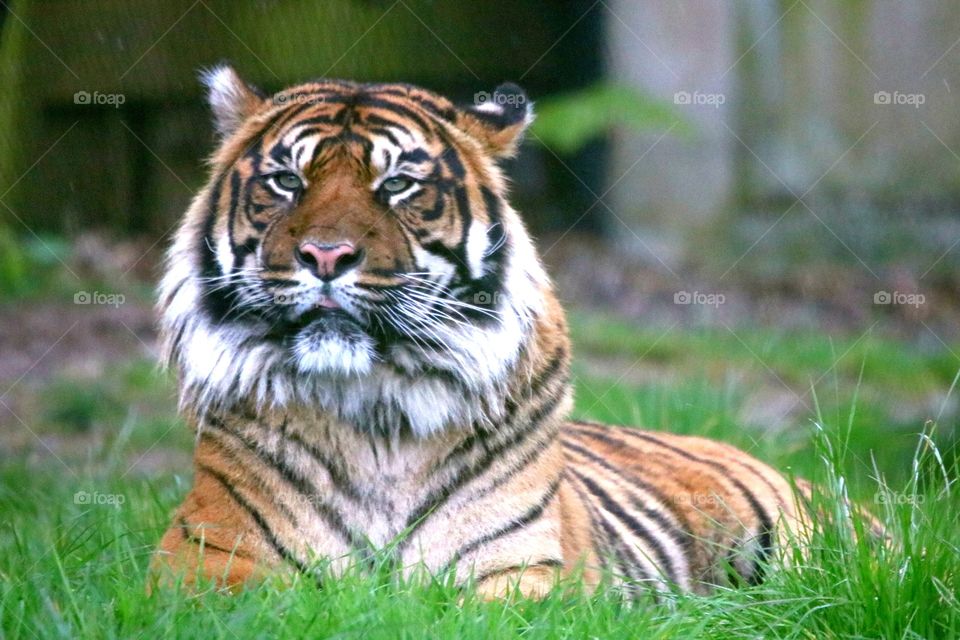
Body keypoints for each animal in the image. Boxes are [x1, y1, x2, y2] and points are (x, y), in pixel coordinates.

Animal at [151, 64, 812, 600]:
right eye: (287, 181)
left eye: (397, 185)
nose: (326, 255)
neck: (373, 412)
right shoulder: (203, 557)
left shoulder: (523, 574)